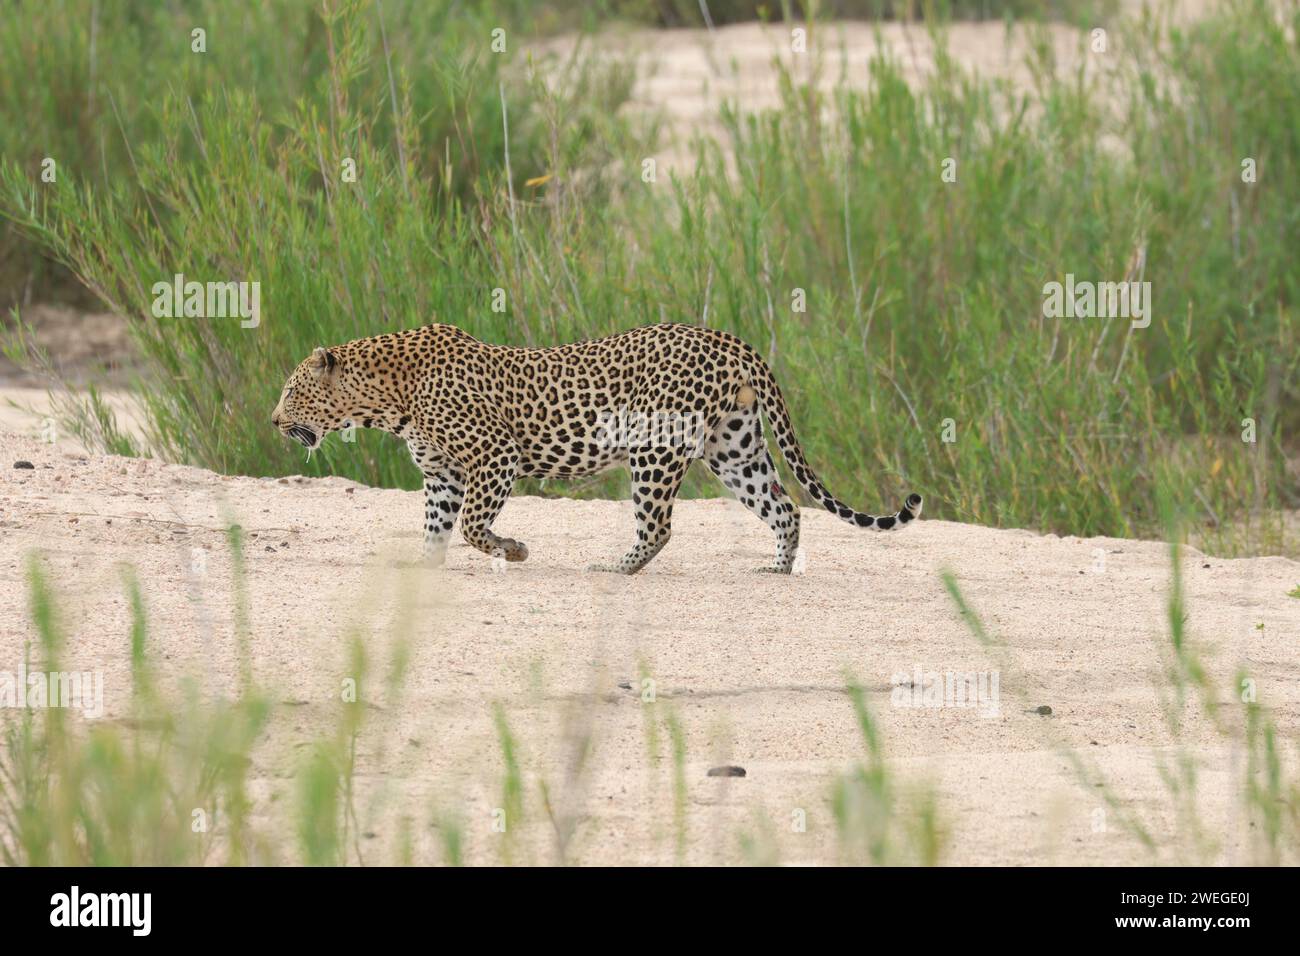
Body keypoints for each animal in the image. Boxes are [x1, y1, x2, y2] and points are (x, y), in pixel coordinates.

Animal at [270, 323, 922, 574]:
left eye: (291, 390)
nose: (273, 421)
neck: (385, 399)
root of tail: (728, 338)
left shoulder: (495, 458)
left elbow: (475, 527)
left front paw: (514, 551)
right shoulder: (442, 476)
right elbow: (437, 527)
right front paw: (424, 569)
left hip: (655, 450)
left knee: (658, 526)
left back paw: (616, 567)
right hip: (732, 447)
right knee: (784, 507)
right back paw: (778, 569)